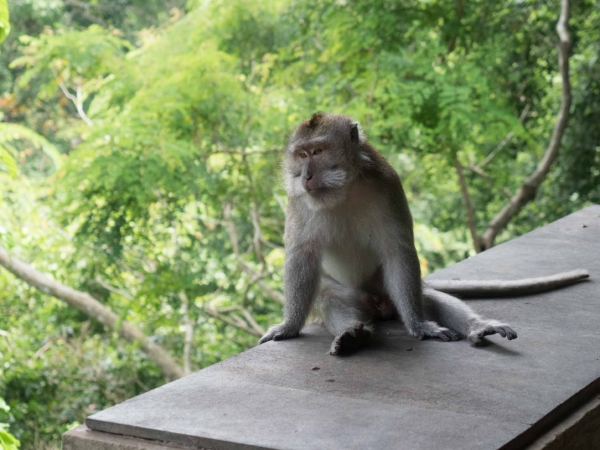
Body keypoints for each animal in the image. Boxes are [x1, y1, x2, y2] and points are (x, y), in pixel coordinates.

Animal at [258, 112, 592, 356]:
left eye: (317, 151)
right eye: (301, 155)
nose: (305, 176)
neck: (345, 189)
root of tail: (377, 303)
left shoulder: (387, 184)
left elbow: (399, 250)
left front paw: (419, 326)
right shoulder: (298, 201)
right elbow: (301, 256)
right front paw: (289, 326)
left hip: (390, 287)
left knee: (428, 296)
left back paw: (476, 326)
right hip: (353, 294)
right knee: (330, 298)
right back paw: (352, 334)